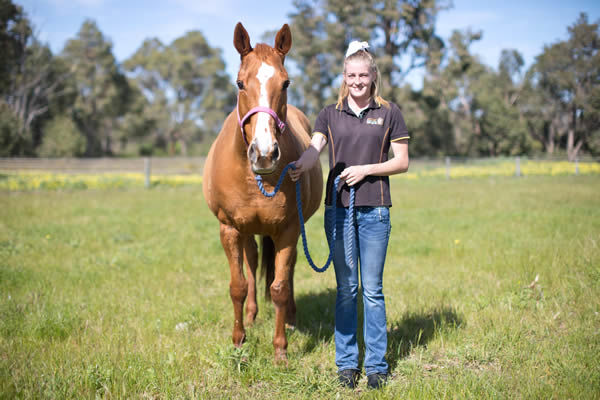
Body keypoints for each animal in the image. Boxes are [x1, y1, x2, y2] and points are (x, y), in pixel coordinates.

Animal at [202, 22, 324, 362]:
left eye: (286, 82)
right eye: (240, 83)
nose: (265, 153)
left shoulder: (289, 229)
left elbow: (279, 287)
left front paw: (280, 349)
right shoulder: (229, 228)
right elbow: (238, 286)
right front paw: (238, 340)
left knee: (288, 272)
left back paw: (292, 319)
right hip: (247, 232)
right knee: (253, 263)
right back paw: (253, 316)